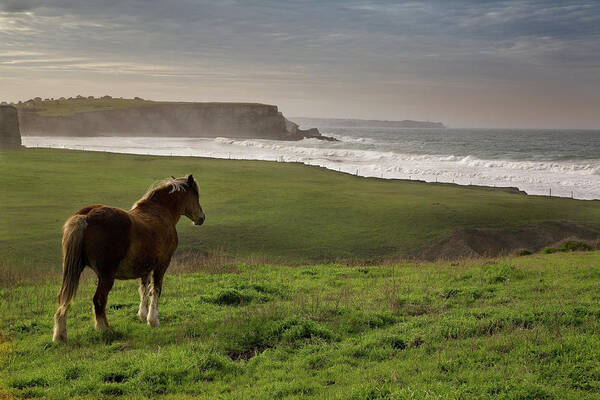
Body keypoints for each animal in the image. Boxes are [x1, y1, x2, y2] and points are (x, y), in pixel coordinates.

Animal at [50, 173, 204, 342]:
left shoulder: (145, 267)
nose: (201, 217)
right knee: (99, 299)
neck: (160, 213)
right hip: (106, 275)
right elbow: (156, 290)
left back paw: (60, 335)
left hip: (74, 269)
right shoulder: (162, 264)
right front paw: (153, 320)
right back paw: (105, 329)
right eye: (196, 195)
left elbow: (144, 289)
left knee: (63, 298)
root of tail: (86, 215)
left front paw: (143, 316)